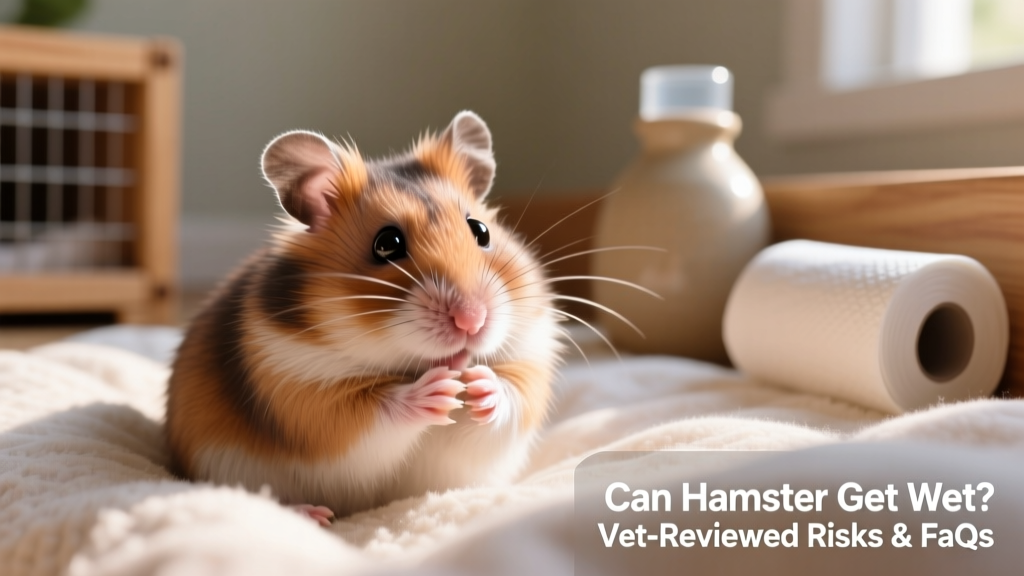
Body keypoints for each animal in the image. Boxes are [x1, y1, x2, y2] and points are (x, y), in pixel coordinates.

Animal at [166, 111, 564, 522]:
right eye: (387, 244)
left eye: (481, 231)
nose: (472, 320)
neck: (404, 363)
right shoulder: (302, 391)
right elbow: (371, 415)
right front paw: (438, 390)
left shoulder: (529, 361)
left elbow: (512, 399)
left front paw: (480, 385)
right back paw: (314, 515)